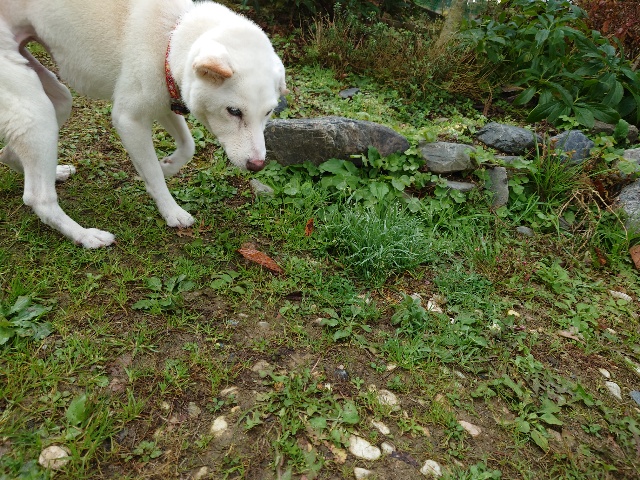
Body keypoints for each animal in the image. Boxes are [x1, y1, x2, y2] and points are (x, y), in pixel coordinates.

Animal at [0, 0, 287, 248]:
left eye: (269, 112)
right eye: (234, 111)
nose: (257, 165)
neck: (170, 34)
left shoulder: (166, 99)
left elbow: (188, 146)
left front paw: (168, 166)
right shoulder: (130, 120)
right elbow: (153, 175)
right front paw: (172, 211)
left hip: (56, 102)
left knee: (11, 154)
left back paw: (54, 172)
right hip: (36, 110)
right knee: (38, 197)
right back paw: (86, 236)